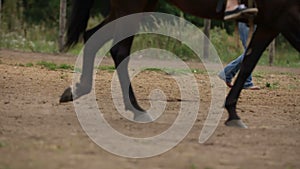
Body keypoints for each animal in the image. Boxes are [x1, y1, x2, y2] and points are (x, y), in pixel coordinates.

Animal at [60, 0, 300, 127]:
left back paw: (77, 89)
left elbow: (248, 63)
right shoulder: (286, 17)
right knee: (119, 49)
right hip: (131, 5)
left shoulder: (271, 23)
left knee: (94, 36)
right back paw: (136, 109)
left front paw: (232, 112)